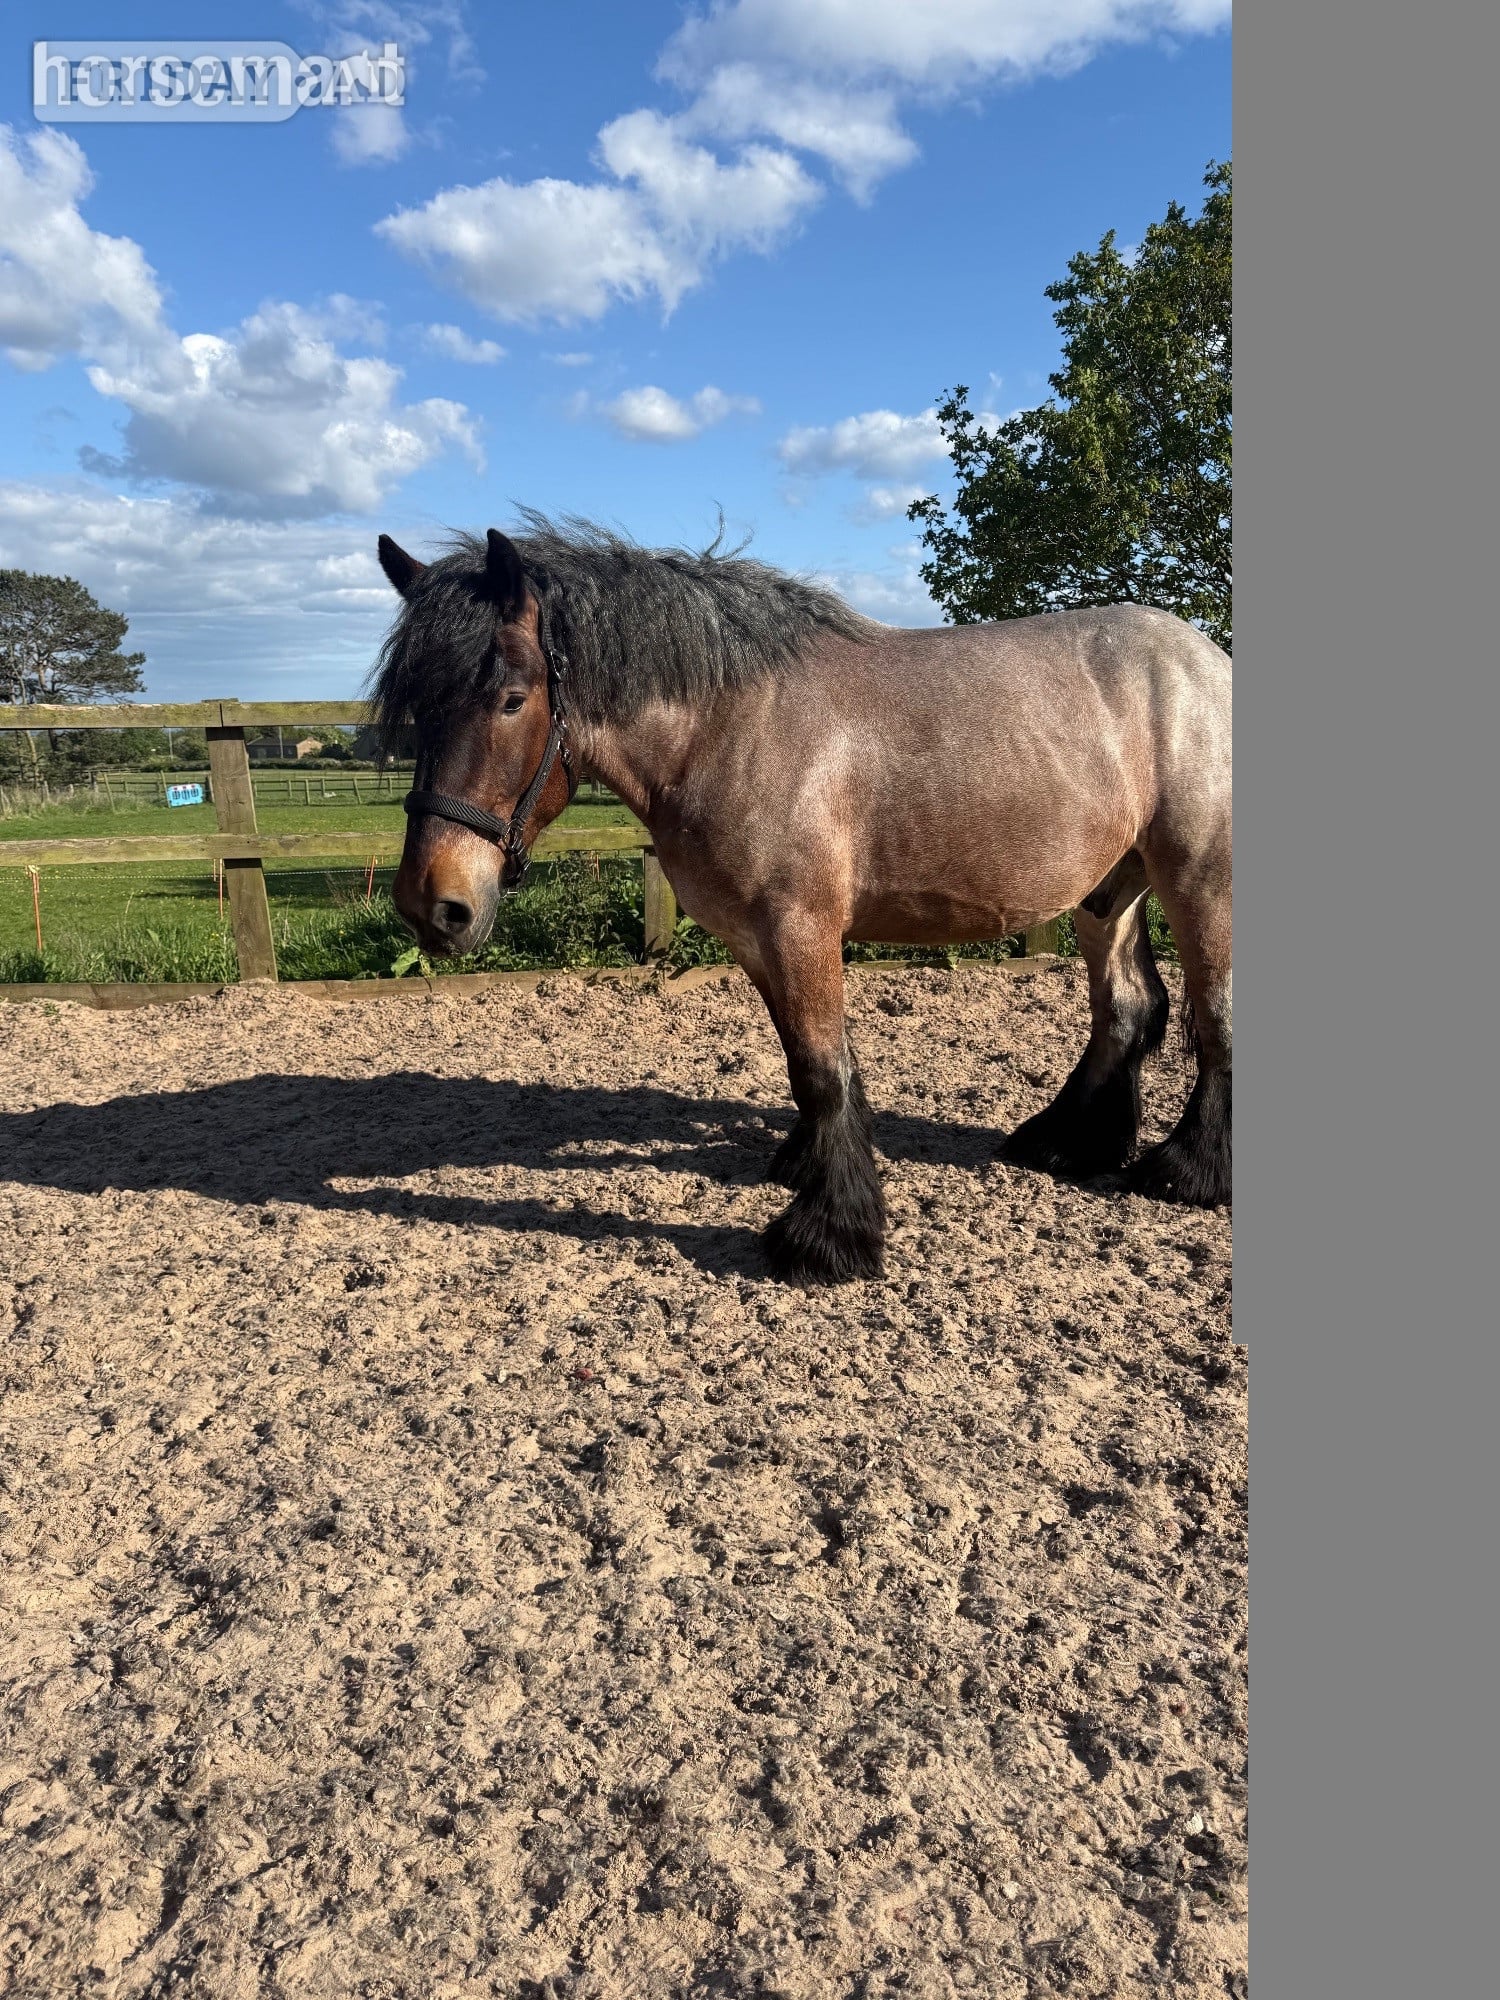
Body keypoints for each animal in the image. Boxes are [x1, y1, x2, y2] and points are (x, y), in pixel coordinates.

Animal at [372, 517, 1231, 1285]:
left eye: (512, 699)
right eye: (415, 709)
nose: (434, 906)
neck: (730, 727)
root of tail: (1203, 657)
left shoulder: (799, 927)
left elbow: (822, 1068)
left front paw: (831, 1235)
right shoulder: (757, 938)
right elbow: (808, 1063)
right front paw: (811, 1168)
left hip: (1199, 878)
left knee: (1212, 1014)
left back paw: (1189, 1170)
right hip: (1109, 890)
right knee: (1127, 1007)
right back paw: (1068, 1143)